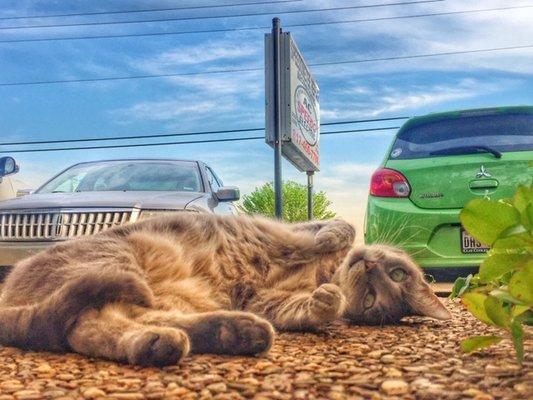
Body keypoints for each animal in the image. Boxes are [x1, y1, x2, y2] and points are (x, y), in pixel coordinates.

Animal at [0, 214, 448, 368]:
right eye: (396, 272)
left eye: (372, 300)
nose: (369, 266)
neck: (323, 271)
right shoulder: (289, 232)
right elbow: (337, 227)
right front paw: (332, 239)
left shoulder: (270, 303)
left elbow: (307, 308)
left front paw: (326, 300)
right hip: (118, 262)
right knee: (82, 326)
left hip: (141, 288)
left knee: (90, 327)